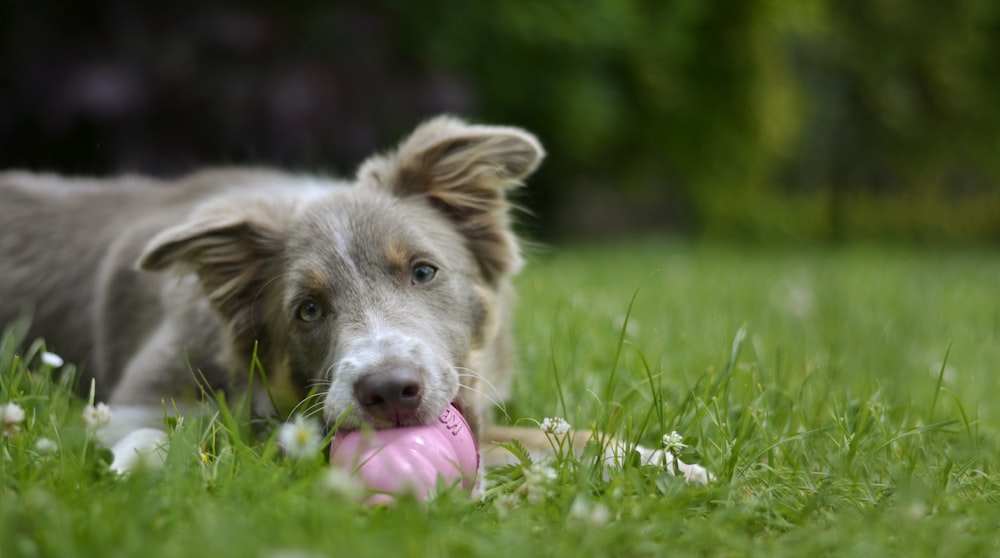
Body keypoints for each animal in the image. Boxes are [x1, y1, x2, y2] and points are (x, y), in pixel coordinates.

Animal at [0, 119, 712, 486]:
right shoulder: (136, 399)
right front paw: (138, 463)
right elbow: (172, 432)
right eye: (308, 311)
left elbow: (554, 435)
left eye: (423, 271)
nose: (389, 392)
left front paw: (665, 463)